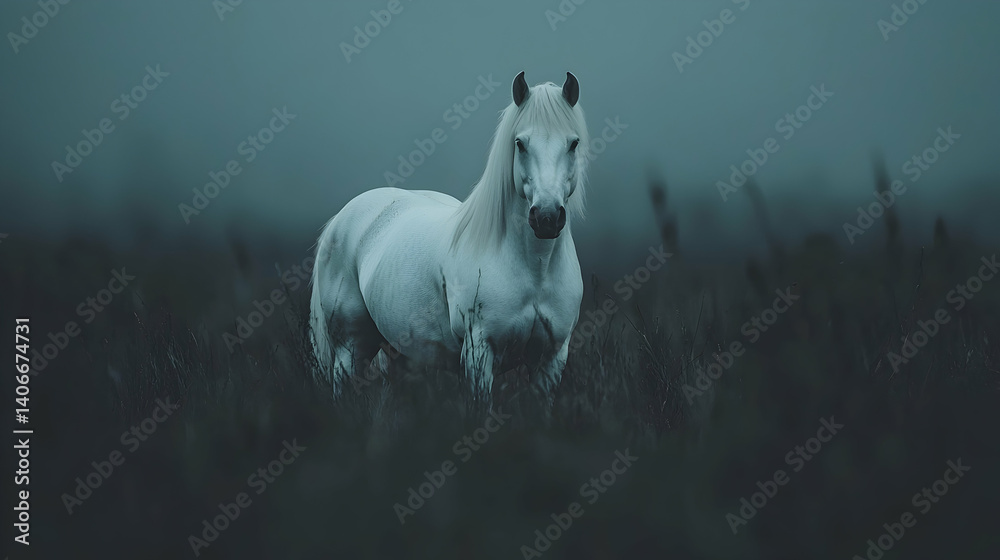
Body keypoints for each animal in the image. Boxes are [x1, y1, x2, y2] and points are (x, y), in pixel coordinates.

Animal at [309, 71, 590, 407]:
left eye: (573, 143)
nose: (546, 217)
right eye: (520, 144)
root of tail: (341, 218)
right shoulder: (479, 353)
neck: (534, 269)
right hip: (351, 347)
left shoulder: (551, 360)